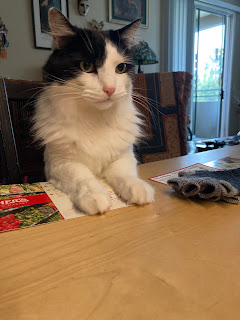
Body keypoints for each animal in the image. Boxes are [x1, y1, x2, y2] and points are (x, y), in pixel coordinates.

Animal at [33, 8, 154, 215]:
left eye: (121, 68)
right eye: (87, 66)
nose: (110, 89)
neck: (96, 119)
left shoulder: (123, 155)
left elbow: (124, 173)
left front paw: (138, 187)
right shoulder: (59, 162)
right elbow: (82, 176)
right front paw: (94, 196)